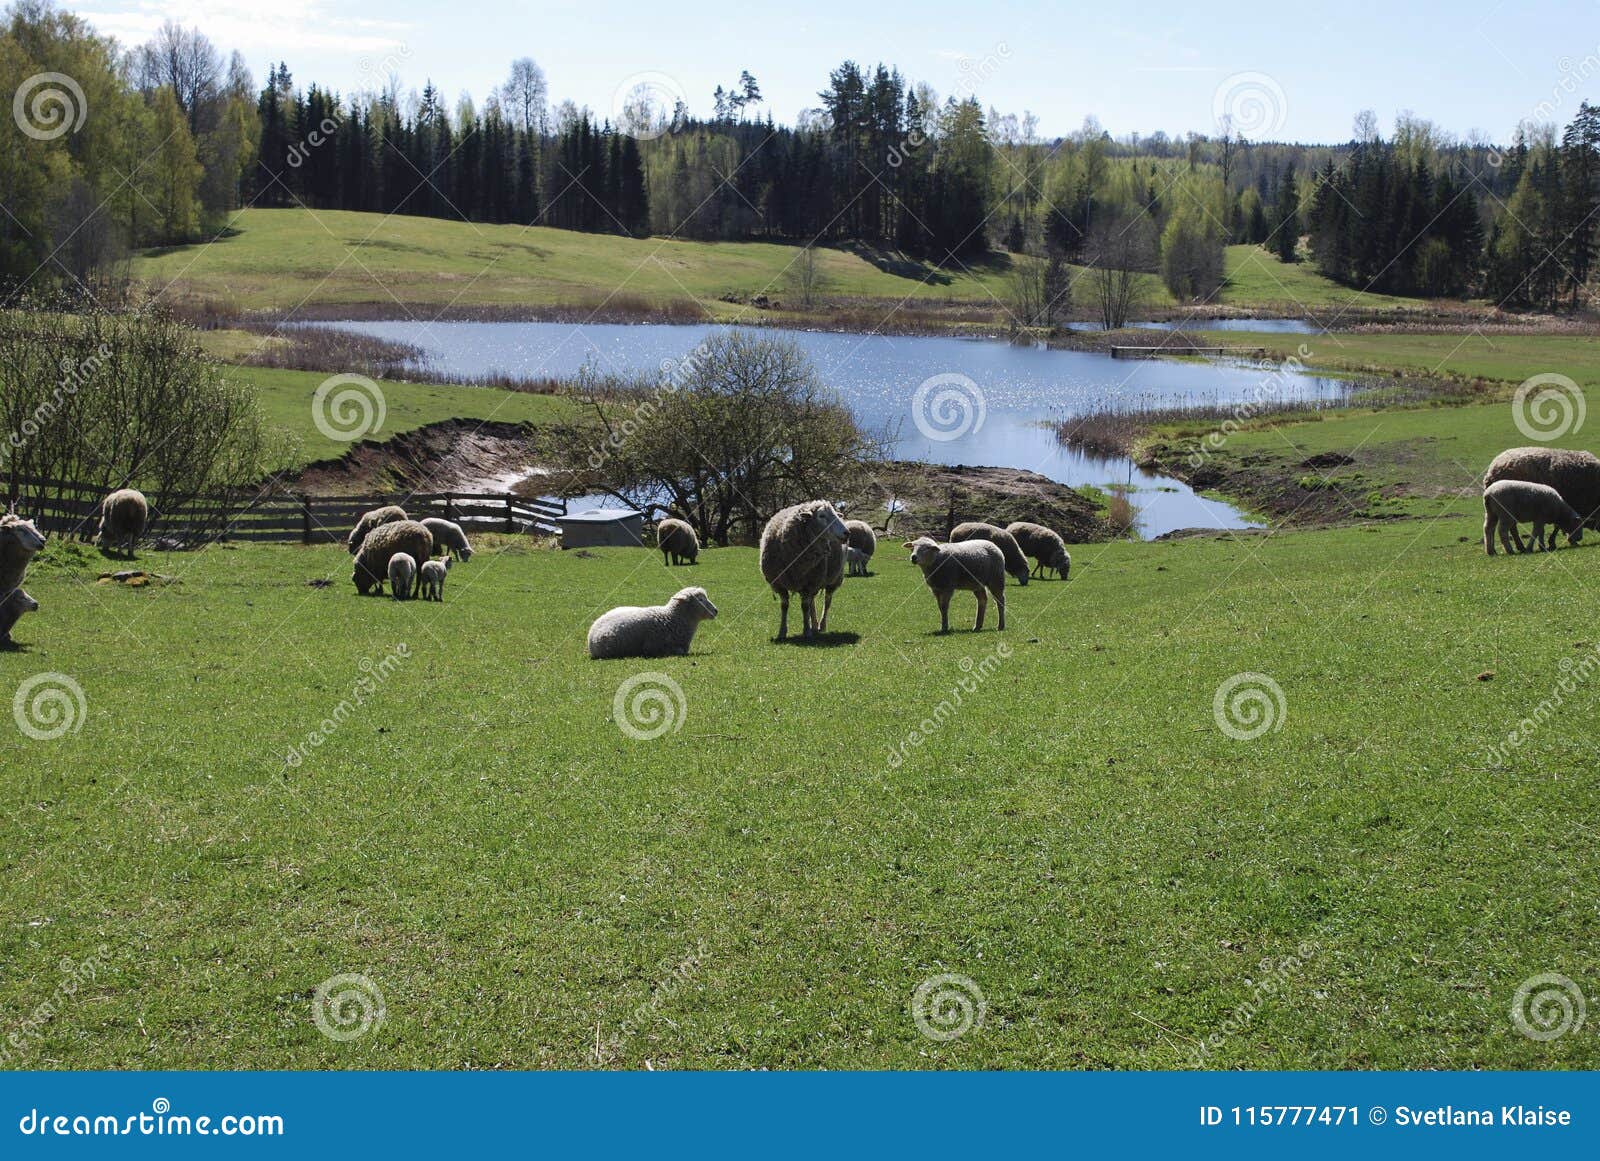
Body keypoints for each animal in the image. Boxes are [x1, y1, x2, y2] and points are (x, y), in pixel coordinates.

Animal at [587, 586, 719, 659]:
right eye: (700, 599)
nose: (716, 611)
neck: (672, 618)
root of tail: (591, 634)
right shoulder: (654, 648)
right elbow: (680, 651)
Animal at [759, 500, 848, 640]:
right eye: (821, 516)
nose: (846, 533)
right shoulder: (779, 584)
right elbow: (785, 606)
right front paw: (782, 632)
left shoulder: (809, 583)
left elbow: (805, 607)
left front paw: (806, 631)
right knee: (812, 602)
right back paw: (814, 625)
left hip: (834, 579)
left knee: (827, 602)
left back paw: (821, 626)